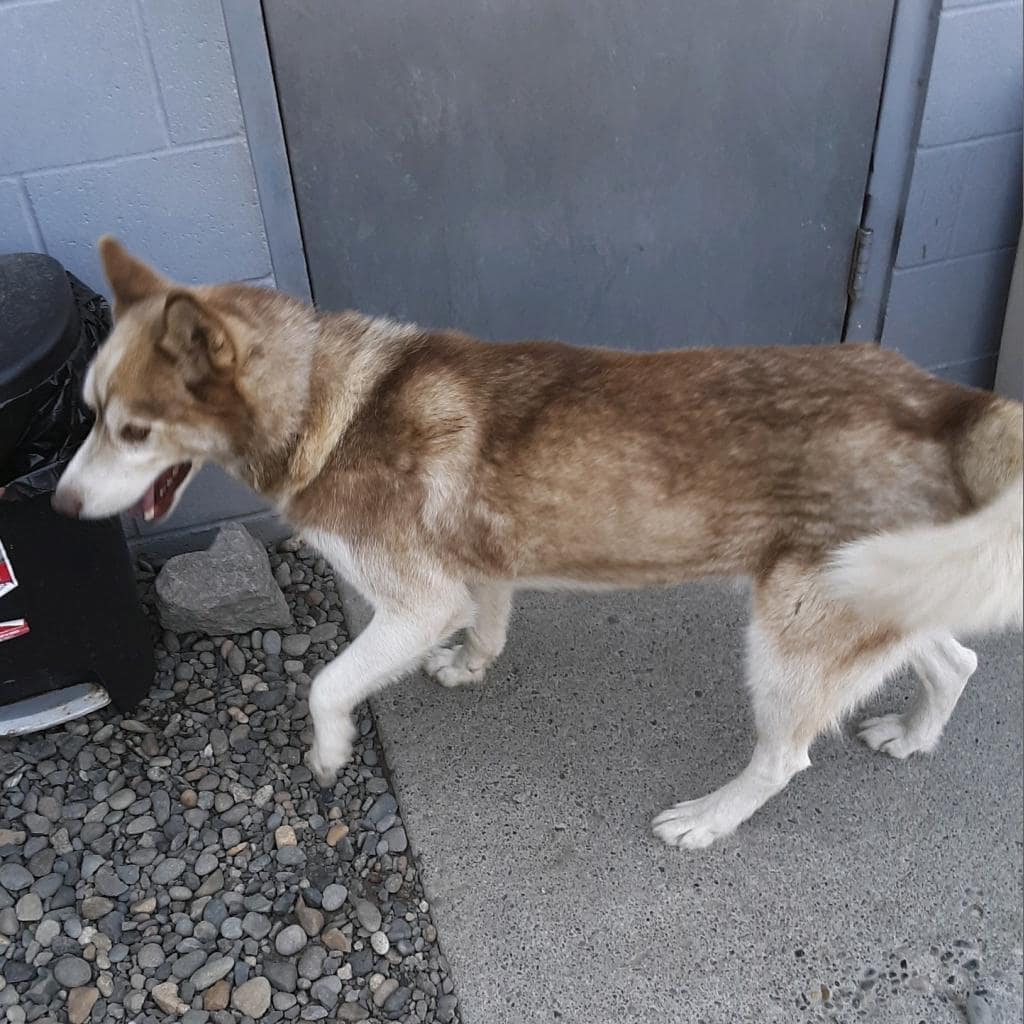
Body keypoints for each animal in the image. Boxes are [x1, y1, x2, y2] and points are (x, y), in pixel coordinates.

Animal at [56, 237, 1024, 847]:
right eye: (89, 413)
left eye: (134, 431)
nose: (60, 505)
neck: (324, 405)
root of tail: (951, 400)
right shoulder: (478, 568)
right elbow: (488, 622)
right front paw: (471, 665)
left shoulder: (416, 602)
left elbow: (327, 684)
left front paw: (328, 752)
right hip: (870, 598)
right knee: (957, 661)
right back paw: (914, 736)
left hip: (790, 635)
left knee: (786, 755)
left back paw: (711, 819)